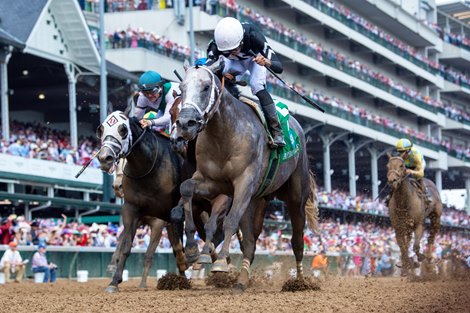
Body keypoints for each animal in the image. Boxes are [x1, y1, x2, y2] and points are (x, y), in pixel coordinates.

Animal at [171, 59, 318, 290]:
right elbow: (186, 189)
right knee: (250, 241)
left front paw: (220, 263)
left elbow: (230, 221)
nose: (185, 125)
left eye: (206, 87)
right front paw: (194, 251)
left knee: (296, 240)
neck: (224, 135)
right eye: (182, 88)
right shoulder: (213, 183)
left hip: (296, 195)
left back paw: (300, 281)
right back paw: (241, 279)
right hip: (257, 199)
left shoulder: (243, 183)